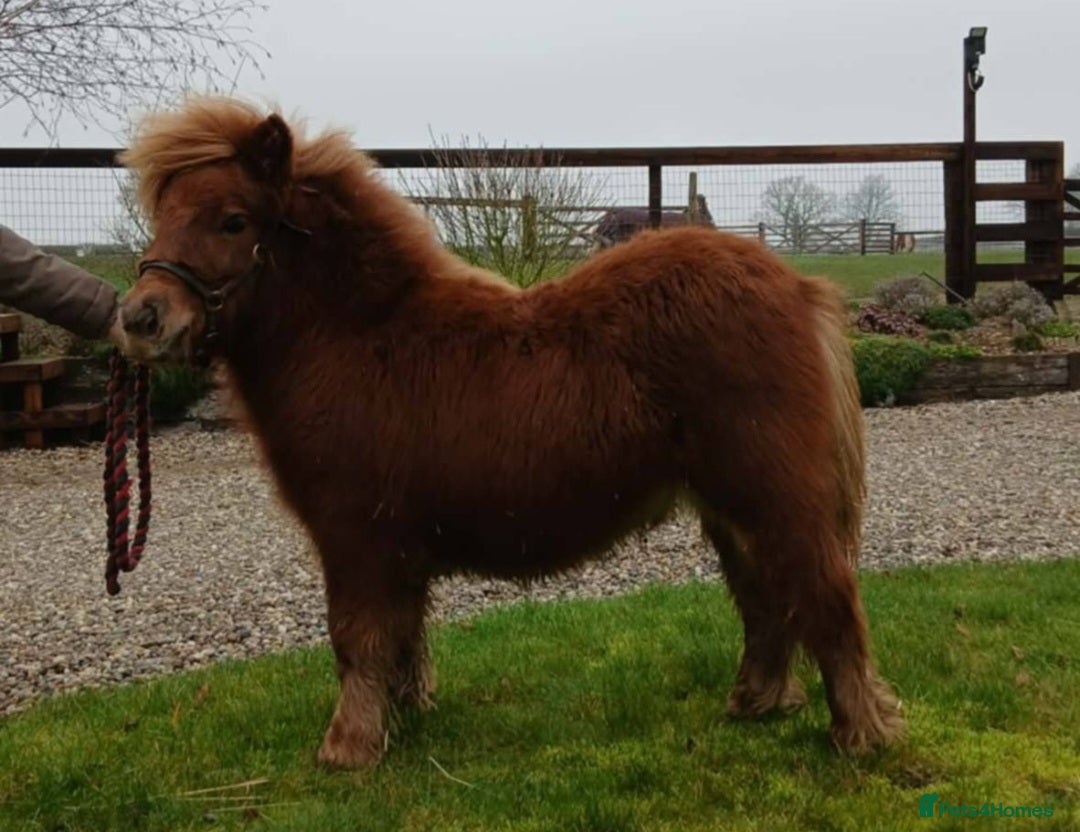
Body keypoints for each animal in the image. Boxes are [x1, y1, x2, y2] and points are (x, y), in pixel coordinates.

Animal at [114, 96, 903, 769]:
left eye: (233, 220)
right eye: (163, 212)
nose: (141, 319)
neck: (357, 335)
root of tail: (798, 288)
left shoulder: (355, 537)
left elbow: (356, 637)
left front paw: (348, 748)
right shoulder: (394, 548)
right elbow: (403, 636)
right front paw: (405, 716)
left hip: (774, 496)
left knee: (824, 594)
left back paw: (860, 734)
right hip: (730, 508)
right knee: (767, 598)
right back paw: (757, 703)